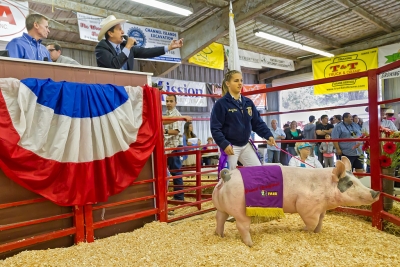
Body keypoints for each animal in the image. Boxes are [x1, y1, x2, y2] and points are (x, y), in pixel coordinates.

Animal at [211, 157, 380, 247]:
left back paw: (220, 235)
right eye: (350, 183)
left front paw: (318, 232)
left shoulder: (321, 208)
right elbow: (312, 222)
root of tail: (227, 176)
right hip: (240, 210)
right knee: (241, 226)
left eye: (357, 180)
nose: (376, 192)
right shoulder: (306, 206)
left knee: (220, 218)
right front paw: (303, 231)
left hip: (221, 206)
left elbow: (321, 220)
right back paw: (251, 244)